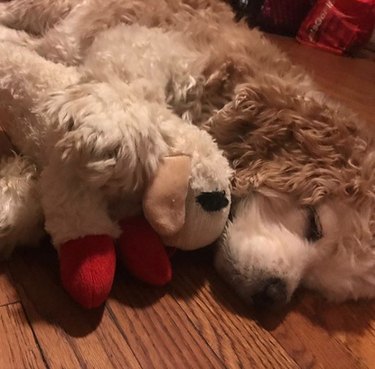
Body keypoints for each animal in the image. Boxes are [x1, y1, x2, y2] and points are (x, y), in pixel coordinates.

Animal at [0, 0, 374, 304]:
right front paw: (115, 125)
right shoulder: (155, 42)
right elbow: (130, 70)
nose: (272, 297)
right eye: (314, 225)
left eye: (317, 286)